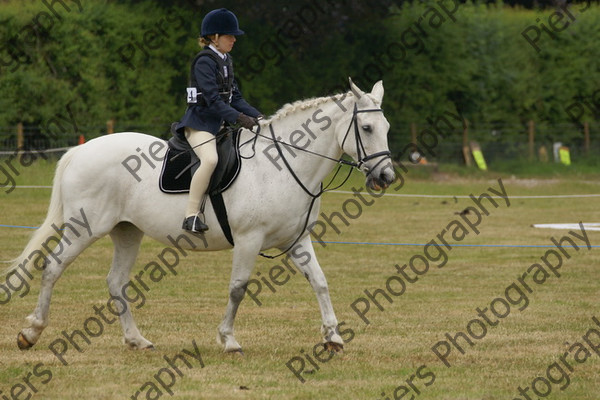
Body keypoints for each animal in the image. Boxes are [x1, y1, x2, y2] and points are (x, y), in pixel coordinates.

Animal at [9, 78, 396, 354]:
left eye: (387, 127)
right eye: (366, 129)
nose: (387, 176)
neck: (284, 164)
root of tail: (80, 150)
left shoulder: (297, 240)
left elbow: (320, 281)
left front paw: (333, 337)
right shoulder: (249, 239)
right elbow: (238, 288)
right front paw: (229, 340)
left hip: (127, 231)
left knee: (116, 282)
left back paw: (137, 340)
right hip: (85, 228)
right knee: (54, 267)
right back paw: (30, 332)